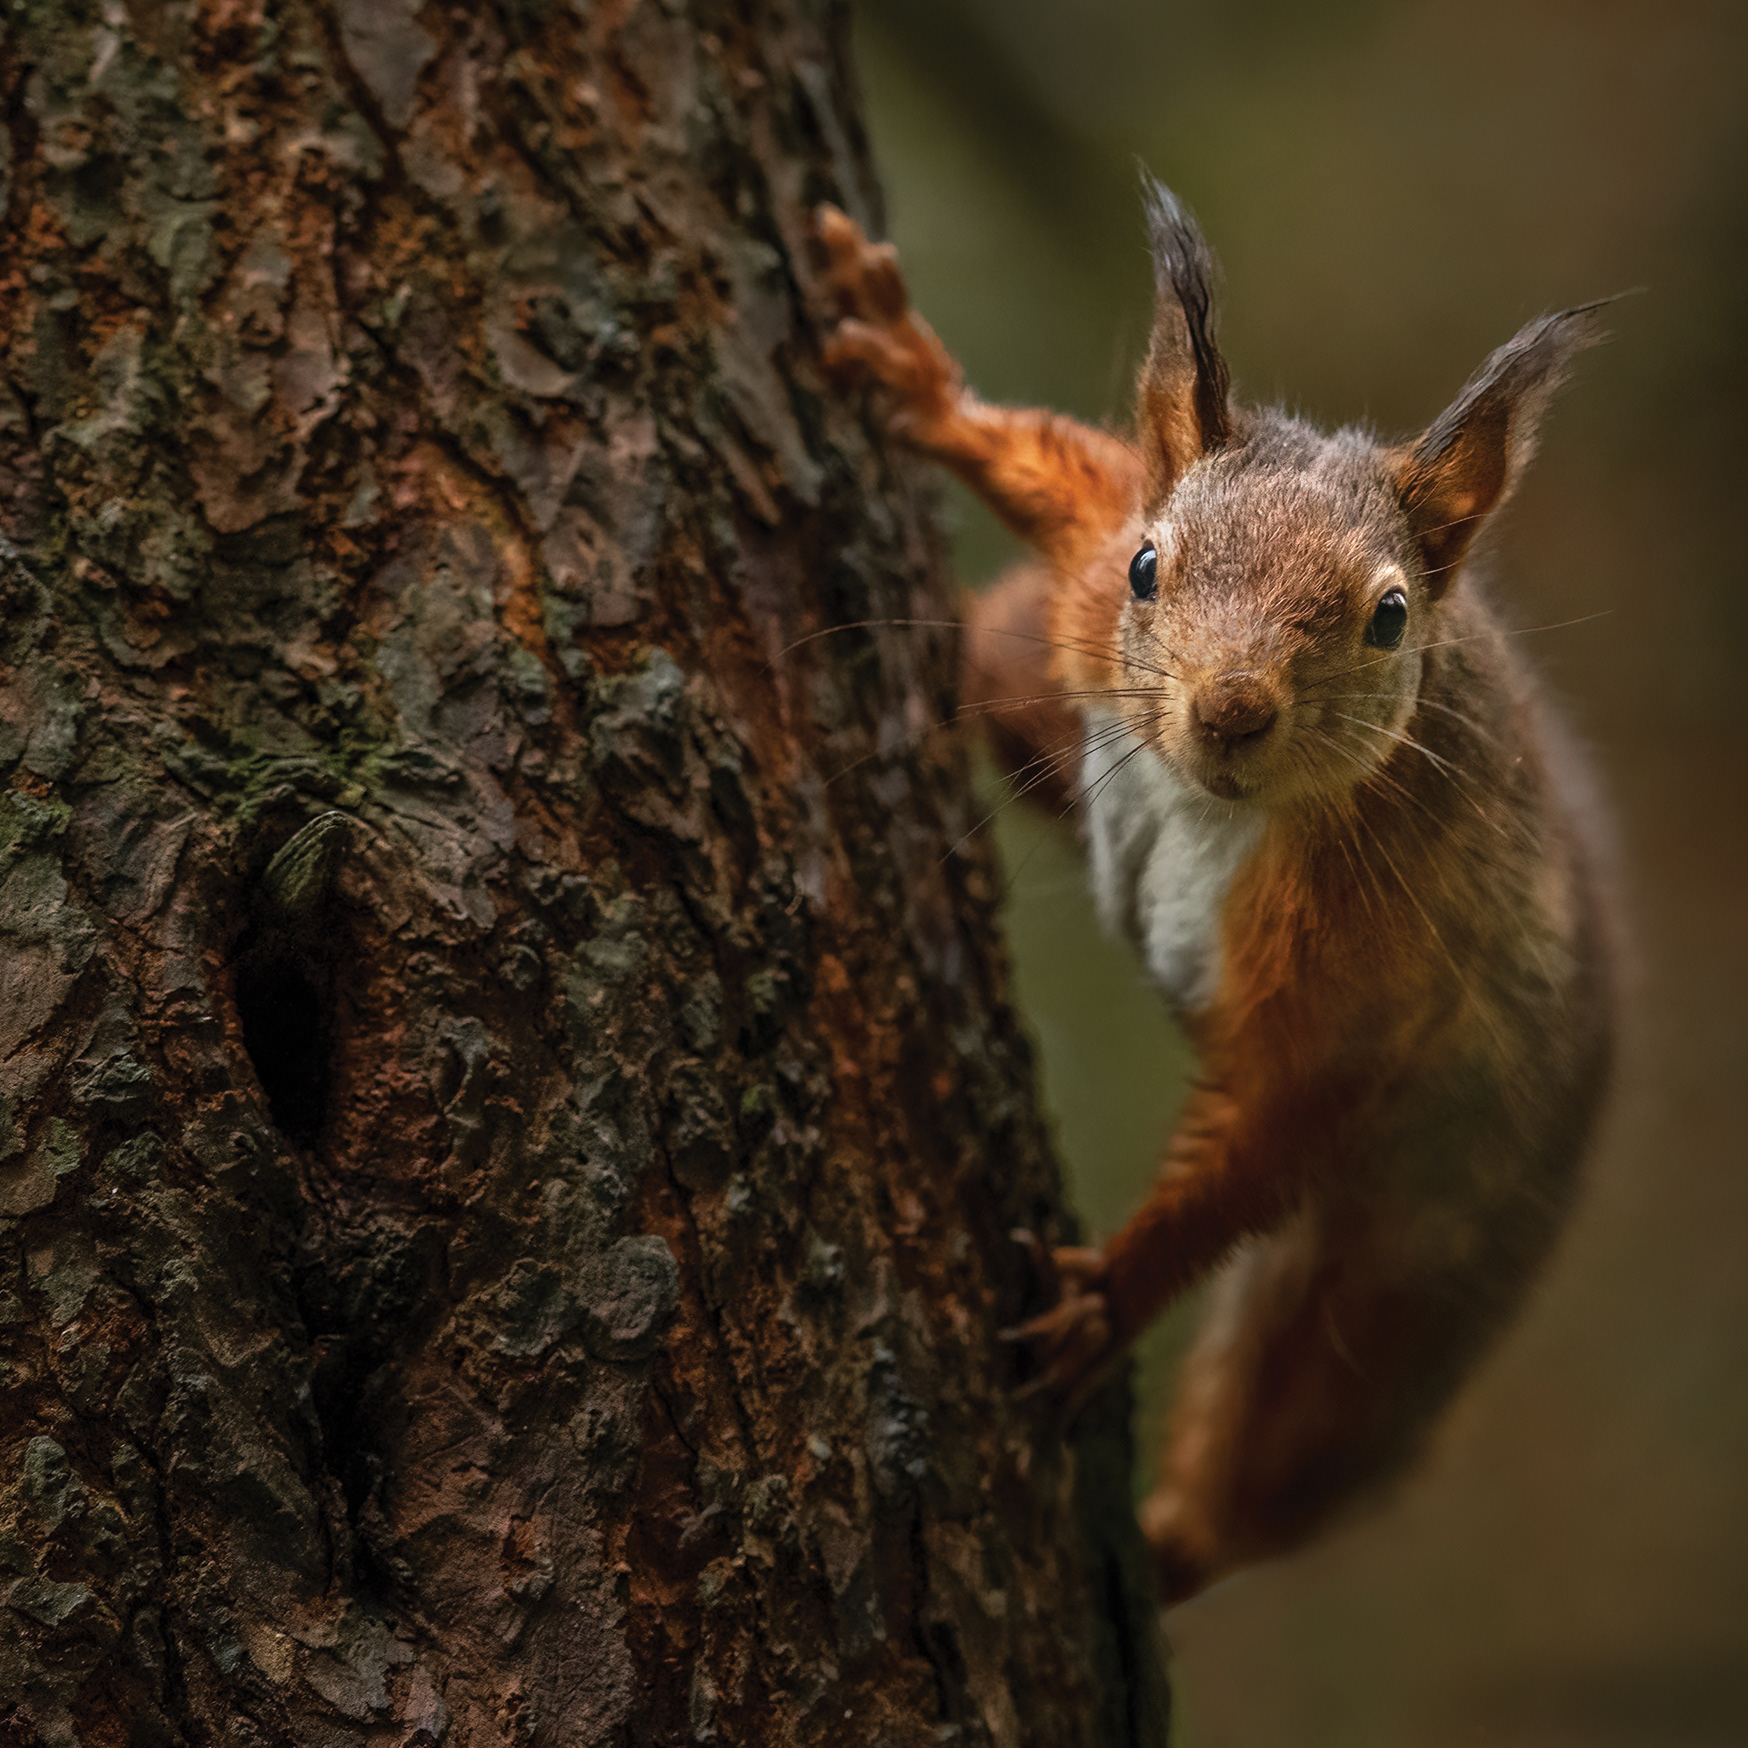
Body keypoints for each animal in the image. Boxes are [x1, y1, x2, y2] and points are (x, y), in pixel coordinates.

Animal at [816, 179, 1617, 1603]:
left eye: (1389, 616)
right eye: (1150, 567)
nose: (1229, 708)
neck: (1214, 805)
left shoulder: (1360, 968)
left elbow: (1265, 1120)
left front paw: (1109, 1298)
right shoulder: (1088, 568)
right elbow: (1059, 467)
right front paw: (915, 375)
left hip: (1408, 1268)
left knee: (1292, 1418)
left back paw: (1174, 1541)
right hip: (1032, 657)